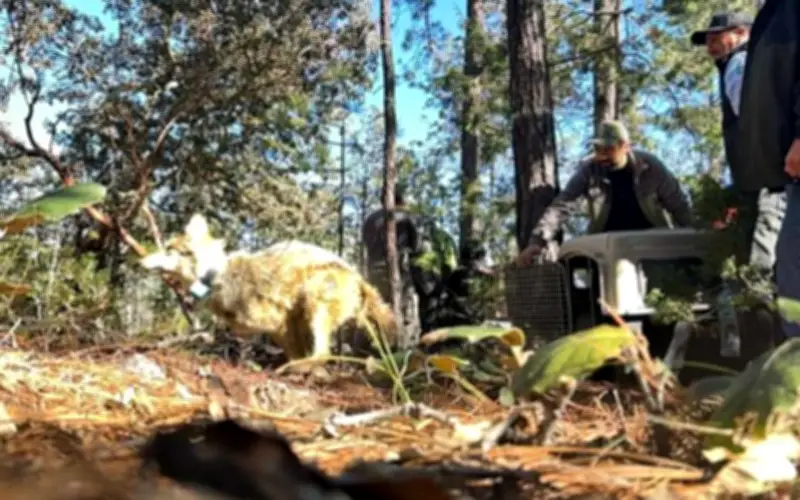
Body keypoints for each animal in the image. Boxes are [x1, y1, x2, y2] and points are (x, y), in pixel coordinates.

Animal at [140, 214, 398, 361]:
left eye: (167, 250)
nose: (140, 260)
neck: (216, 276)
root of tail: (359, 278)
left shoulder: (281, 324)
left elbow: (297, 354)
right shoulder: (286, 328)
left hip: (314, 303)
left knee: (323, 354)